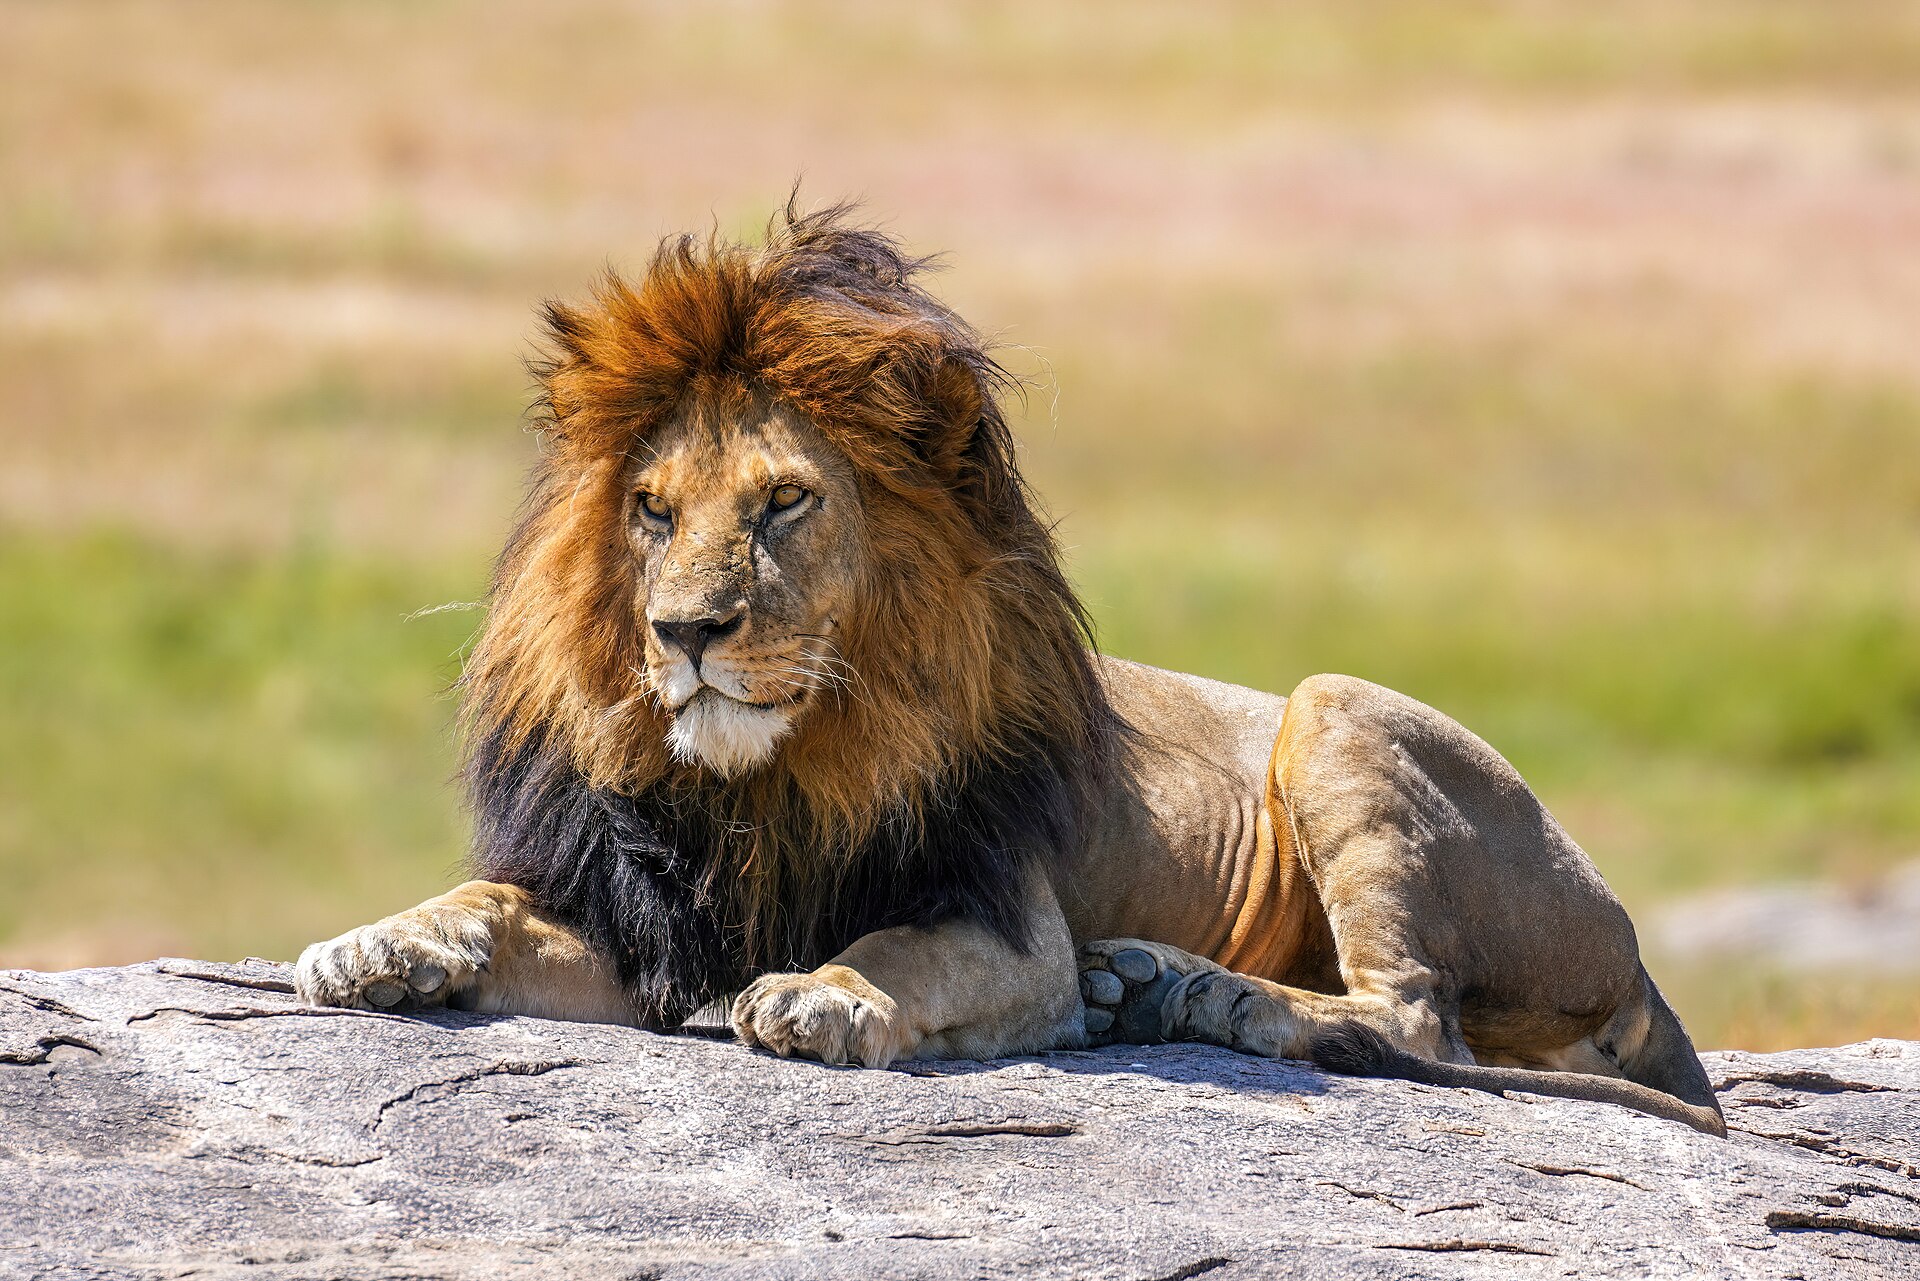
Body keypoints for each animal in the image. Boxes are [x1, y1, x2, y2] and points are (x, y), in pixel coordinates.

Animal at [295, 204, 1725, 1136]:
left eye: (783, 503)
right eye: (650, 511)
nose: (685, 632)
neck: (773, 782)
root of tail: (1635, 952)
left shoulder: (1009, 923)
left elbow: (898, 951)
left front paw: (825, 995)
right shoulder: (647, 929)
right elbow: (487, 900)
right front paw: (382, 943)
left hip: (1336, 712)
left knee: (1412, 1020)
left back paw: (1183, 991)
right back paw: (1152, 988)